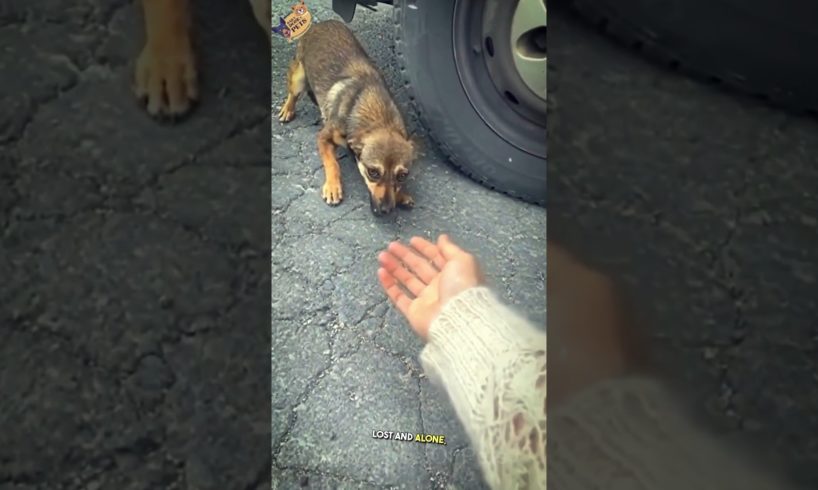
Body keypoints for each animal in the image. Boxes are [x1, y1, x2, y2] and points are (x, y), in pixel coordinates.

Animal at [278, 19, 418, 214]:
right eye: (373, 172)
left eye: (402, 176)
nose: (386, 210)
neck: (378, 118)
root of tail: (321, 23)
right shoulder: (323, 137)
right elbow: (332, 163)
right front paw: (333, 187)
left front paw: (401, 195)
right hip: (299, 77)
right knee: (293, 94)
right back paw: (287, 109)